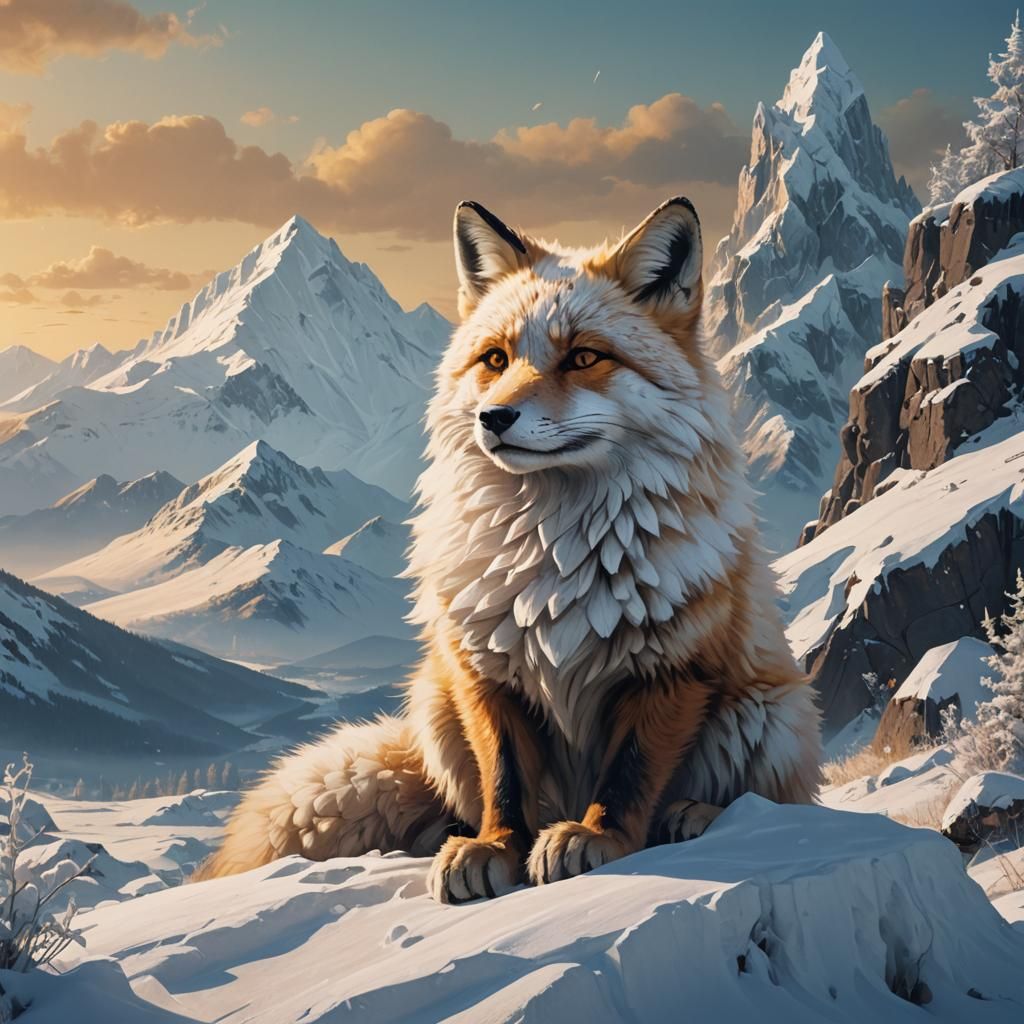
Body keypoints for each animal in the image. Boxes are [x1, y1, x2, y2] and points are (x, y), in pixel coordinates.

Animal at [194, 196, 822, 902]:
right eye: (494, 359)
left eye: (583, 358)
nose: (492, 418)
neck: (554, 556)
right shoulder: (485, 671)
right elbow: (504, 778)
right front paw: (495, 849)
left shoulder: (673, 666)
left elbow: (629, 775)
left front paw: (596, 839)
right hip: (434, 701)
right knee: (458, 803)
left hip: (770, 711)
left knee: (772, 799)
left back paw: (695, 815)